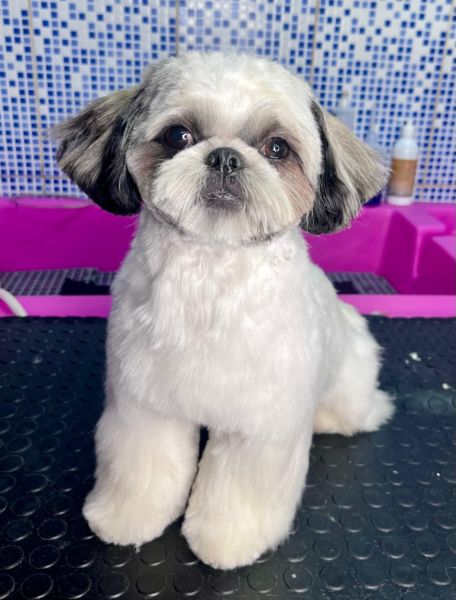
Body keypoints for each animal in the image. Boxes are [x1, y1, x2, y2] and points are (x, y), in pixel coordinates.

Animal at [53, 52, 394, 569]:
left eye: (277, 148)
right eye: (178, 136)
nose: (225, 156)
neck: (209, 273)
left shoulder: (260, 426)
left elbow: (239, 490)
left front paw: (227, 541)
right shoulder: (144, 406)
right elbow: (142, 468)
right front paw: (127, 517)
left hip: (348, 389)